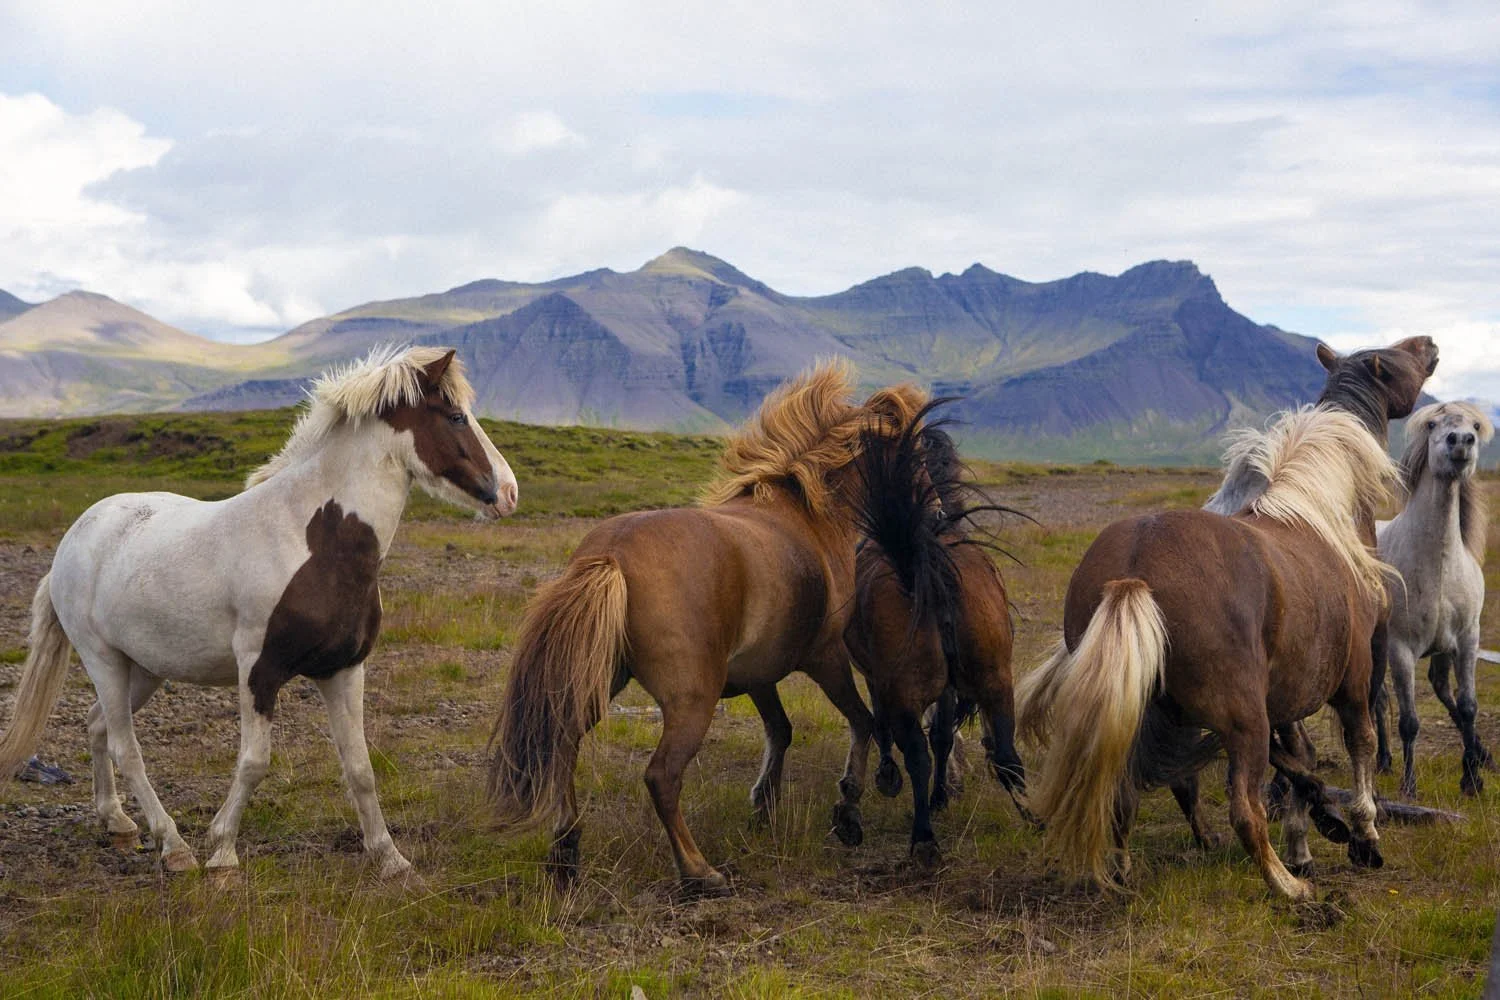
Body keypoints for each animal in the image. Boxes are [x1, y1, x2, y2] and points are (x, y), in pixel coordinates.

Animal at [0, 346, 517, 878]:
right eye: (455, 417)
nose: (509, 492)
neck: (312, 540)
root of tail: (74, 537)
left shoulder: (344, 669)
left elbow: (359, 766)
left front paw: (390, 858)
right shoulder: (258, 670)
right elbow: (254, 762)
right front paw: (222, 852)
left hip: (142, 669)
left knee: (96, 725)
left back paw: (118, 824)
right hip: (102, 660)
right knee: (127, 748)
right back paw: (174, 846)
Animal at [487, 360, 930, 893]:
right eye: (917, 453)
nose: (934, 510)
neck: (807, 515)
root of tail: (610, 556)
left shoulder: (760, 672)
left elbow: (781, 730)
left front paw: (764, 807)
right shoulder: (826, 656)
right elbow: (863, 721)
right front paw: (852, 807)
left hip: (597, 679)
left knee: (566, 741)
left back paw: (566, 851)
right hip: (692, 700)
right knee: (661, 776)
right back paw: (699, 871)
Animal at [843, 418, 1028, 867]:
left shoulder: (880, 680)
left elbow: (884, 726)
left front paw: (888, 777)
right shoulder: (947, 689)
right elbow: (944, 735)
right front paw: (943, 795)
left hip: (905, 691)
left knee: (916, 754)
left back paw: (924, 838)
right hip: (996, 681)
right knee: (1007, 757)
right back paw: (1038, 820)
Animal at [1017, 336, 1434, 901]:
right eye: (1395, 359)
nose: (1429, 344)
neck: (1321, 514)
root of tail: (1134, 571)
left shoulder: (1284, 701)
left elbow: (1300, 761)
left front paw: (1311, 837)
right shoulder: (1352, 677)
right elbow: (1360, 747)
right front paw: (1362, 838)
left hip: (1141, 717)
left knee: (1121, 796)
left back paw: (1125, 872)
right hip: (1241, 720)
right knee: (1243, 811)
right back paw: (1287, 888)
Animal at [1377, 401, 1493, 798]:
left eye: (1475, 426)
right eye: (1432, 425)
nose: (1461, 442)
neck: (1439, 565)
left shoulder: (1467, 639)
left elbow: (1469, 705)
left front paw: (1472, 779)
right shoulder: (1399, 649)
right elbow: (1409, 722)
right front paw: (1409, 786)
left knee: (1439, 689)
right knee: (1378, 701)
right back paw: (1383, 761)